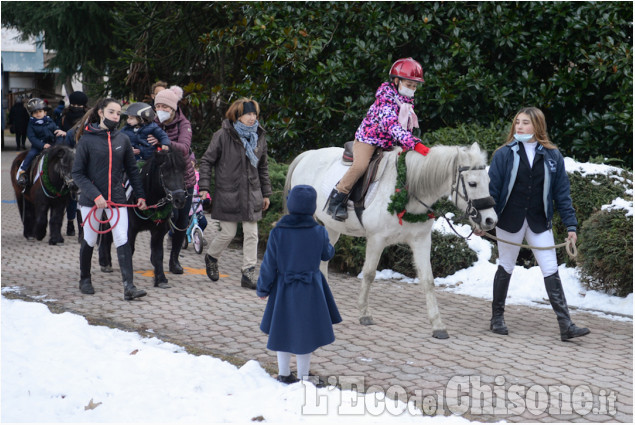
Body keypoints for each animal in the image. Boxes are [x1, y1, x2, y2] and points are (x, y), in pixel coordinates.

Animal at [99, 150, 188, 288]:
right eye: (165, 171)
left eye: (183, 170)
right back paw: (105, 262)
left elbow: (158, 254)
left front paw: (161, 279)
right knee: (105, 238)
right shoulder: (130, 230)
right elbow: (129, 250)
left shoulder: (158, 231)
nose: (180, 199)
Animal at [286, 142, 500, 338]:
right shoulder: (376, 239)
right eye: (472, 183)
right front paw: (364, 314)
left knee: (322, 262)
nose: (491, 220)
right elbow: (369, 274)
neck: (407, 190)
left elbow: (428, 280)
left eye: (489, 180)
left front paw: (438, 325)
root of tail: (307, 155)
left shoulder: (421, 241)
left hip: (331, 229)